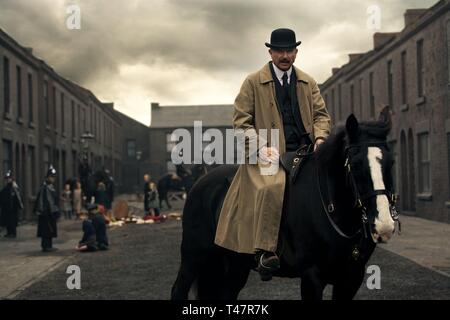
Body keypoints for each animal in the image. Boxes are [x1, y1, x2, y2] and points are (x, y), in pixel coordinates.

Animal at [171, 109, 400, 300]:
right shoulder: (311, 276)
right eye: (356, 164)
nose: (384, 225)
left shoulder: (351, 278)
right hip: (194, 257)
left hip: (235, 263)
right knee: (178, 290)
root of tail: (200, 184)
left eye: (391, 162)